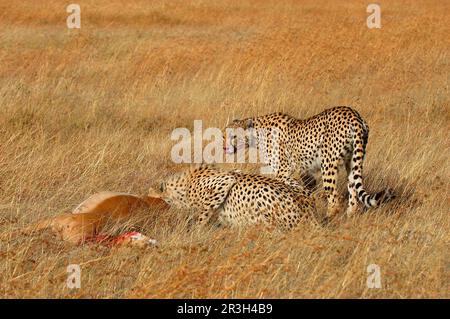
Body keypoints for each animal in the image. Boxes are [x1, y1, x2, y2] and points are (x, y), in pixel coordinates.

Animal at [223, 106, 396, 219]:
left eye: (233, 136)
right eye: (225, 134)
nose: (224, 147)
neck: (257, 133)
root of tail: (352, 113)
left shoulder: (283, 172)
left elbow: (295, 187)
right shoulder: (306, 173)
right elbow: (305, 188)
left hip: (328, 164)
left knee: (335, 198)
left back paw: (328, 219)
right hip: (353, 161)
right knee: (353, 192)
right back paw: (349, 216)